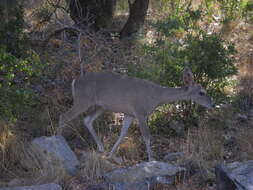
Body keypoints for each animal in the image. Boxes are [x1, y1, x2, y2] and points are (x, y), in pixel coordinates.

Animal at [57, 67, 213, 161]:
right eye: (202, 93)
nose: (212, 104)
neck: (157, 97)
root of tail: (75, 81)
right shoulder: (140, 112)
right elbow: (147, 136)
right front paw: (151, 160)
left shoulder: (129, 114)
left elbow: (123, 133)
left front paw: (111, 155)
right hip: (82, 100)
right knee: (63, 117)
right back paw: (58, 139)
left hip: (101, 106)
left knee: (87, 120)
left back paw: (101, 148)